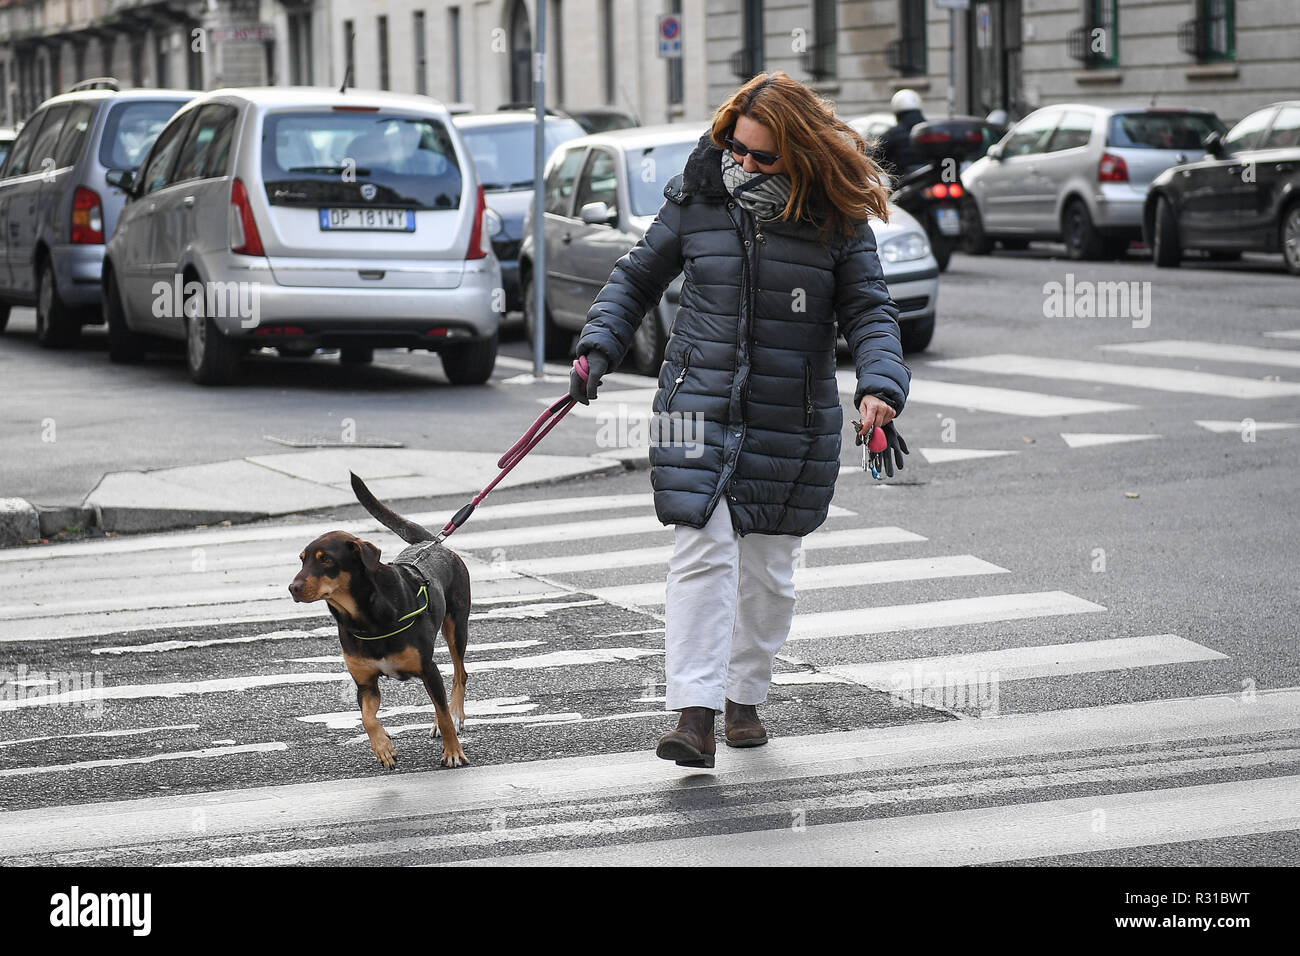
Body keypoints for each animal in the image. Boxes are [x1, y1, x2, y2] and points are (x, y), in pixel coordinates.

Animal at [287, 476, 470, 775]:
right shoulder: (365, 683)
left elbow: (442, 714)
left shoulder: (427, 668)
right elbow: (367, 718)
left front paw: (453, 752)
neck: (364, 617)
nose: (293, 588)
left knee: (458, 675)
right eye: (302, 559)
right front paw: (383, 747)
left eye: (326, 559)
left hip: (456, 626)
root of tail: (431, 542)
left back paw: (456, 714)